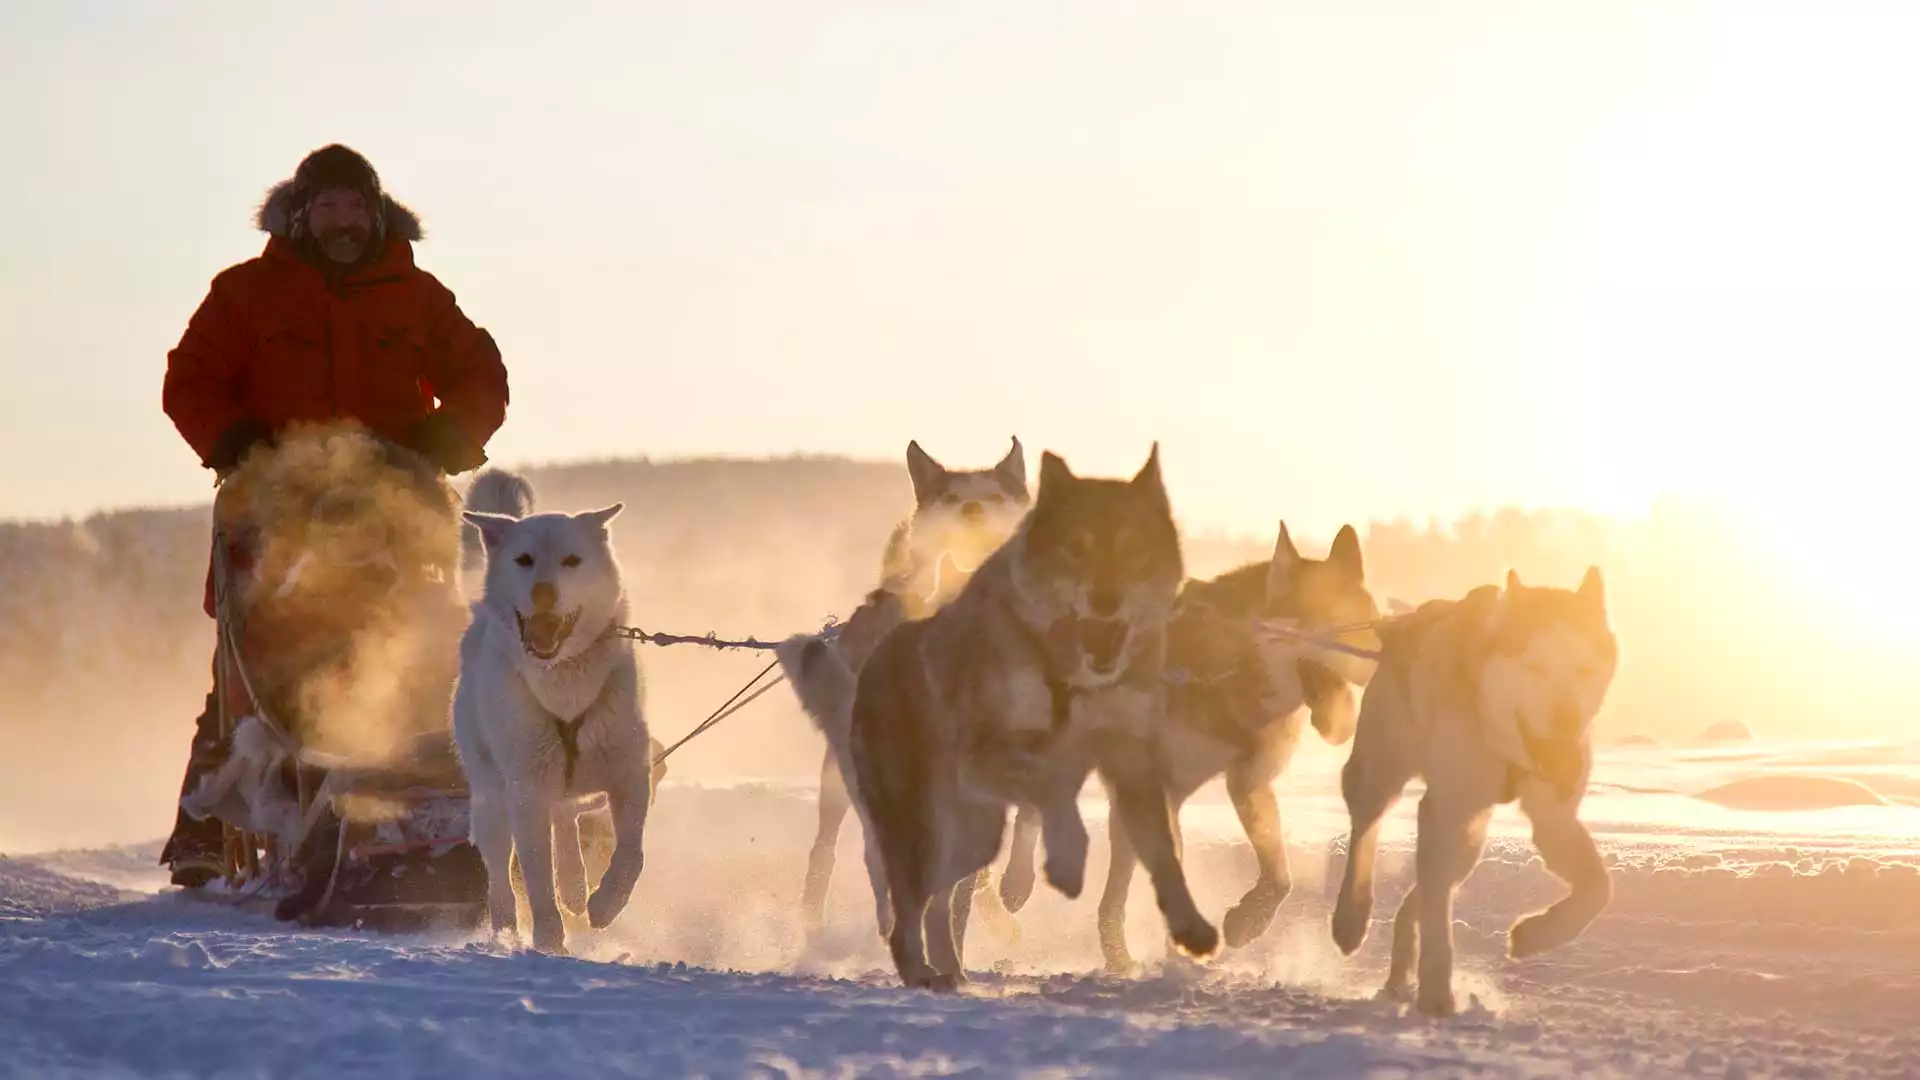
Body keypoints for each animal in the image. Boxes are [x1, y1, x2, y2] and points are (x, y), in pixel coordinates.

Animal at [455, 470, 660, 949]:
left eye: (571, 560)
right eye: (524, 560)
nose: (544, 592)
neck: (564, 682)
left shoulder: (630, 773)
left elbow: (631, 853)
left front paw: (606, 902)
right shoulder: (526, 790)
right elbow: (534, 874)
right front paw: (548, 938)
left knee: (565, 823)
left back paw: (575, 885)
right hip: (492, 796)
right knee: (500, 870)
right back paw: (505, 929)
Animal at [775, 438, 1036, 933]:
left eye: (995, 497)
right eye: (951, 498)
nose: (972, 509)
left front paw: (1017, 881)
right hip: (843, 769)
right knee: (830, 842)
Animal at [840, 441, 1213, 991]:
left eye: (1135, 549)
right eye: (1075, 547)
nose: (1106, 598)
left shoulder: (1129, 759)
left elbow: (1160, 847)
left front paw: (1190, 925)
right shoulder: (989, 754)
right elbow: (1050, 792)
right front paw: (1067, 857)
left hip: (971, 837)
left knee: (941, 901)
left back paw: (947, 966)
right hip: (920, 824)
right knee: (908, 904)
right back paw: (918, 969)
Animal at [1336, 568, 1620, 1014]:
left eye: (1584, 670)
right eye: (1535, 666)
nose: (1567, 722)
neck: (1500, 737)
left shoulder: (1553, 819)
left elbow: (1599, 889)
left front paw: (1537, 935)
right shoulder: (1443, 808)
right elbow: (1438, 920)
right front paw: (1437, 994)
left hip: (1468, 838)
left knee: (1422, 893)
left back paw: (1400, 976)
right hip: (1380, 774)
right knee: (1368, 830)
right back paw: (1351, 915)